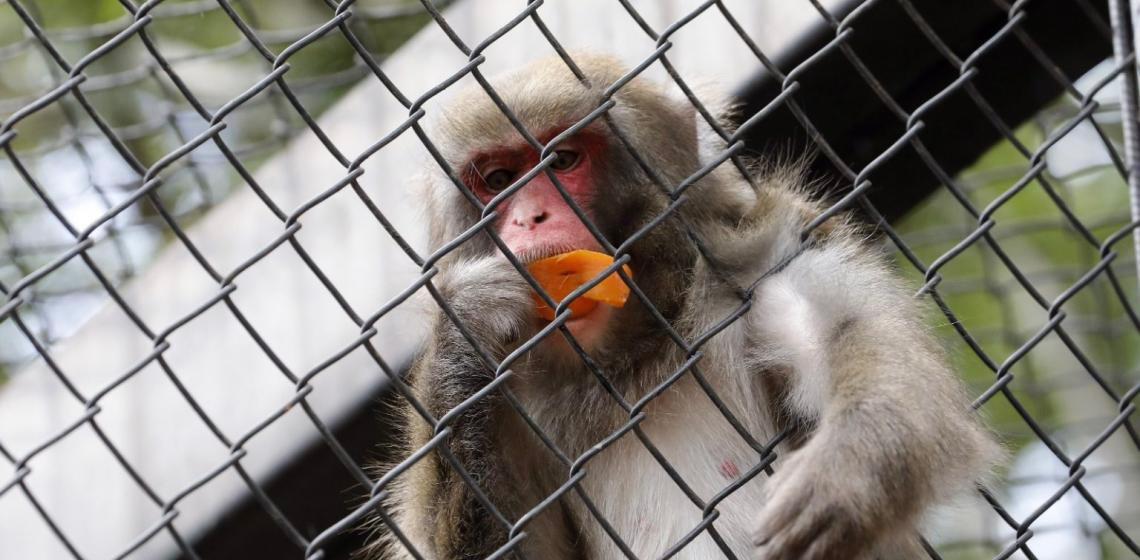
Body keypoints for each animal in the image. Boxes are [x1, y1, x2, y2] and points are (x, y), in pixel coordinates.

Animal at [364, 53, 998, 560]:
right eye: (497, 179)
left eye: (564, 161)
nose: (529, 219)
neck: (636, 356)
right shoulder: (517, 405)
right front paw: (465, 325)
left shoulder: (765, 260)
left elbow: (848, 336)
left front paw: (849, 468)